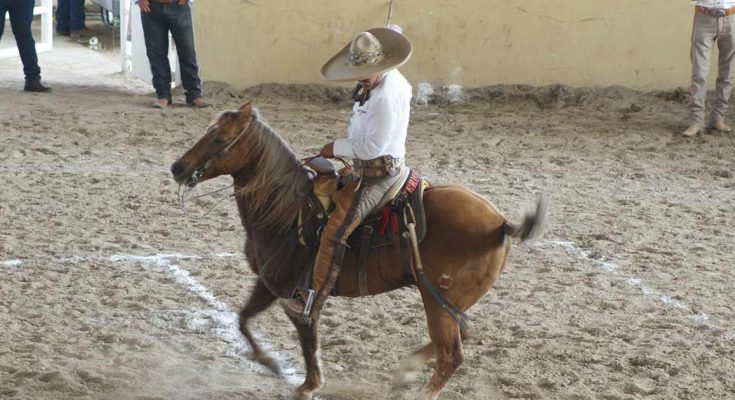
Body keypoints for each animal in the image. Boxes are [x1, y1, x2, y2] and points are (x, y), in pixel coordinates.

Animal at [168, 101, 548, 398]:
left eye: (219, 138)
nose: (178, 167)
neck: (287, 212)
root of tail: (501, 223)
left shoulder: (297, 291)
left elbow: (307, 335)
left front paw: (308, 385)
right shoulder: (268, 282)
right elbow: (243, 320)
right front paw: (272, 363)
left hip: (437, 299)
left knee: (451, 355)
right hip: (447, 301)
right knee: (461, 335)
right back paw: (406, 370)